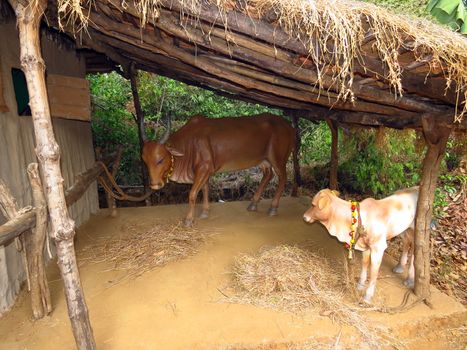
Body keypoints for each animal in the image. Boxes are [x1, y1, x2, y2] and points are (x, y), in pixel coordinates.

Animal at [142, 113, 296, 227]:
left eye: (161, 159)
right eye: (144, 160)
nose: (154, 185)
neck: (189, 145)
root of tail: (289, 126)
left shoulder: (204, 168)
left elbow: (192, 194)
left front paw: (189, 220)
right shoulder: (204, 171)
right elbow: (204, 189)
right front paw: (205, 212)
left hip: (278, 159)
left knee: (283, 177)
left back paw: (273, 208)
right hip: (263, 161)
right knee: (268, 175)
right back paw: (253, 204)